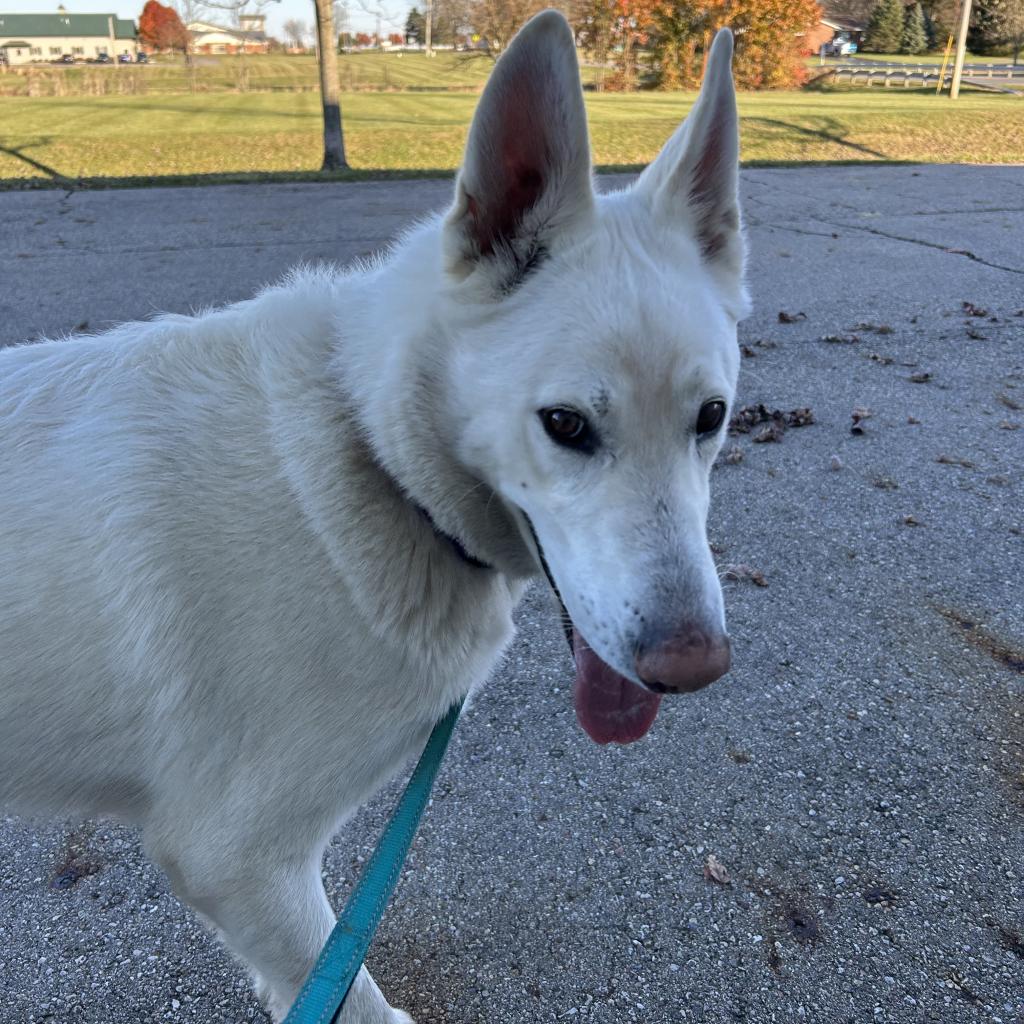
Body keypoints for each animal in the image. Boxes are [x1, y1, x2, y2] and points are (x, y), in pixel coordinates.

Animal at [2, 12, 753, 1019]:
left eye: (710, 418)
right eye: (565, 425)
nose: (693, 668)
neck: (372, 457)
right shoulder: (241, 864)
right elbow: (352, 998)